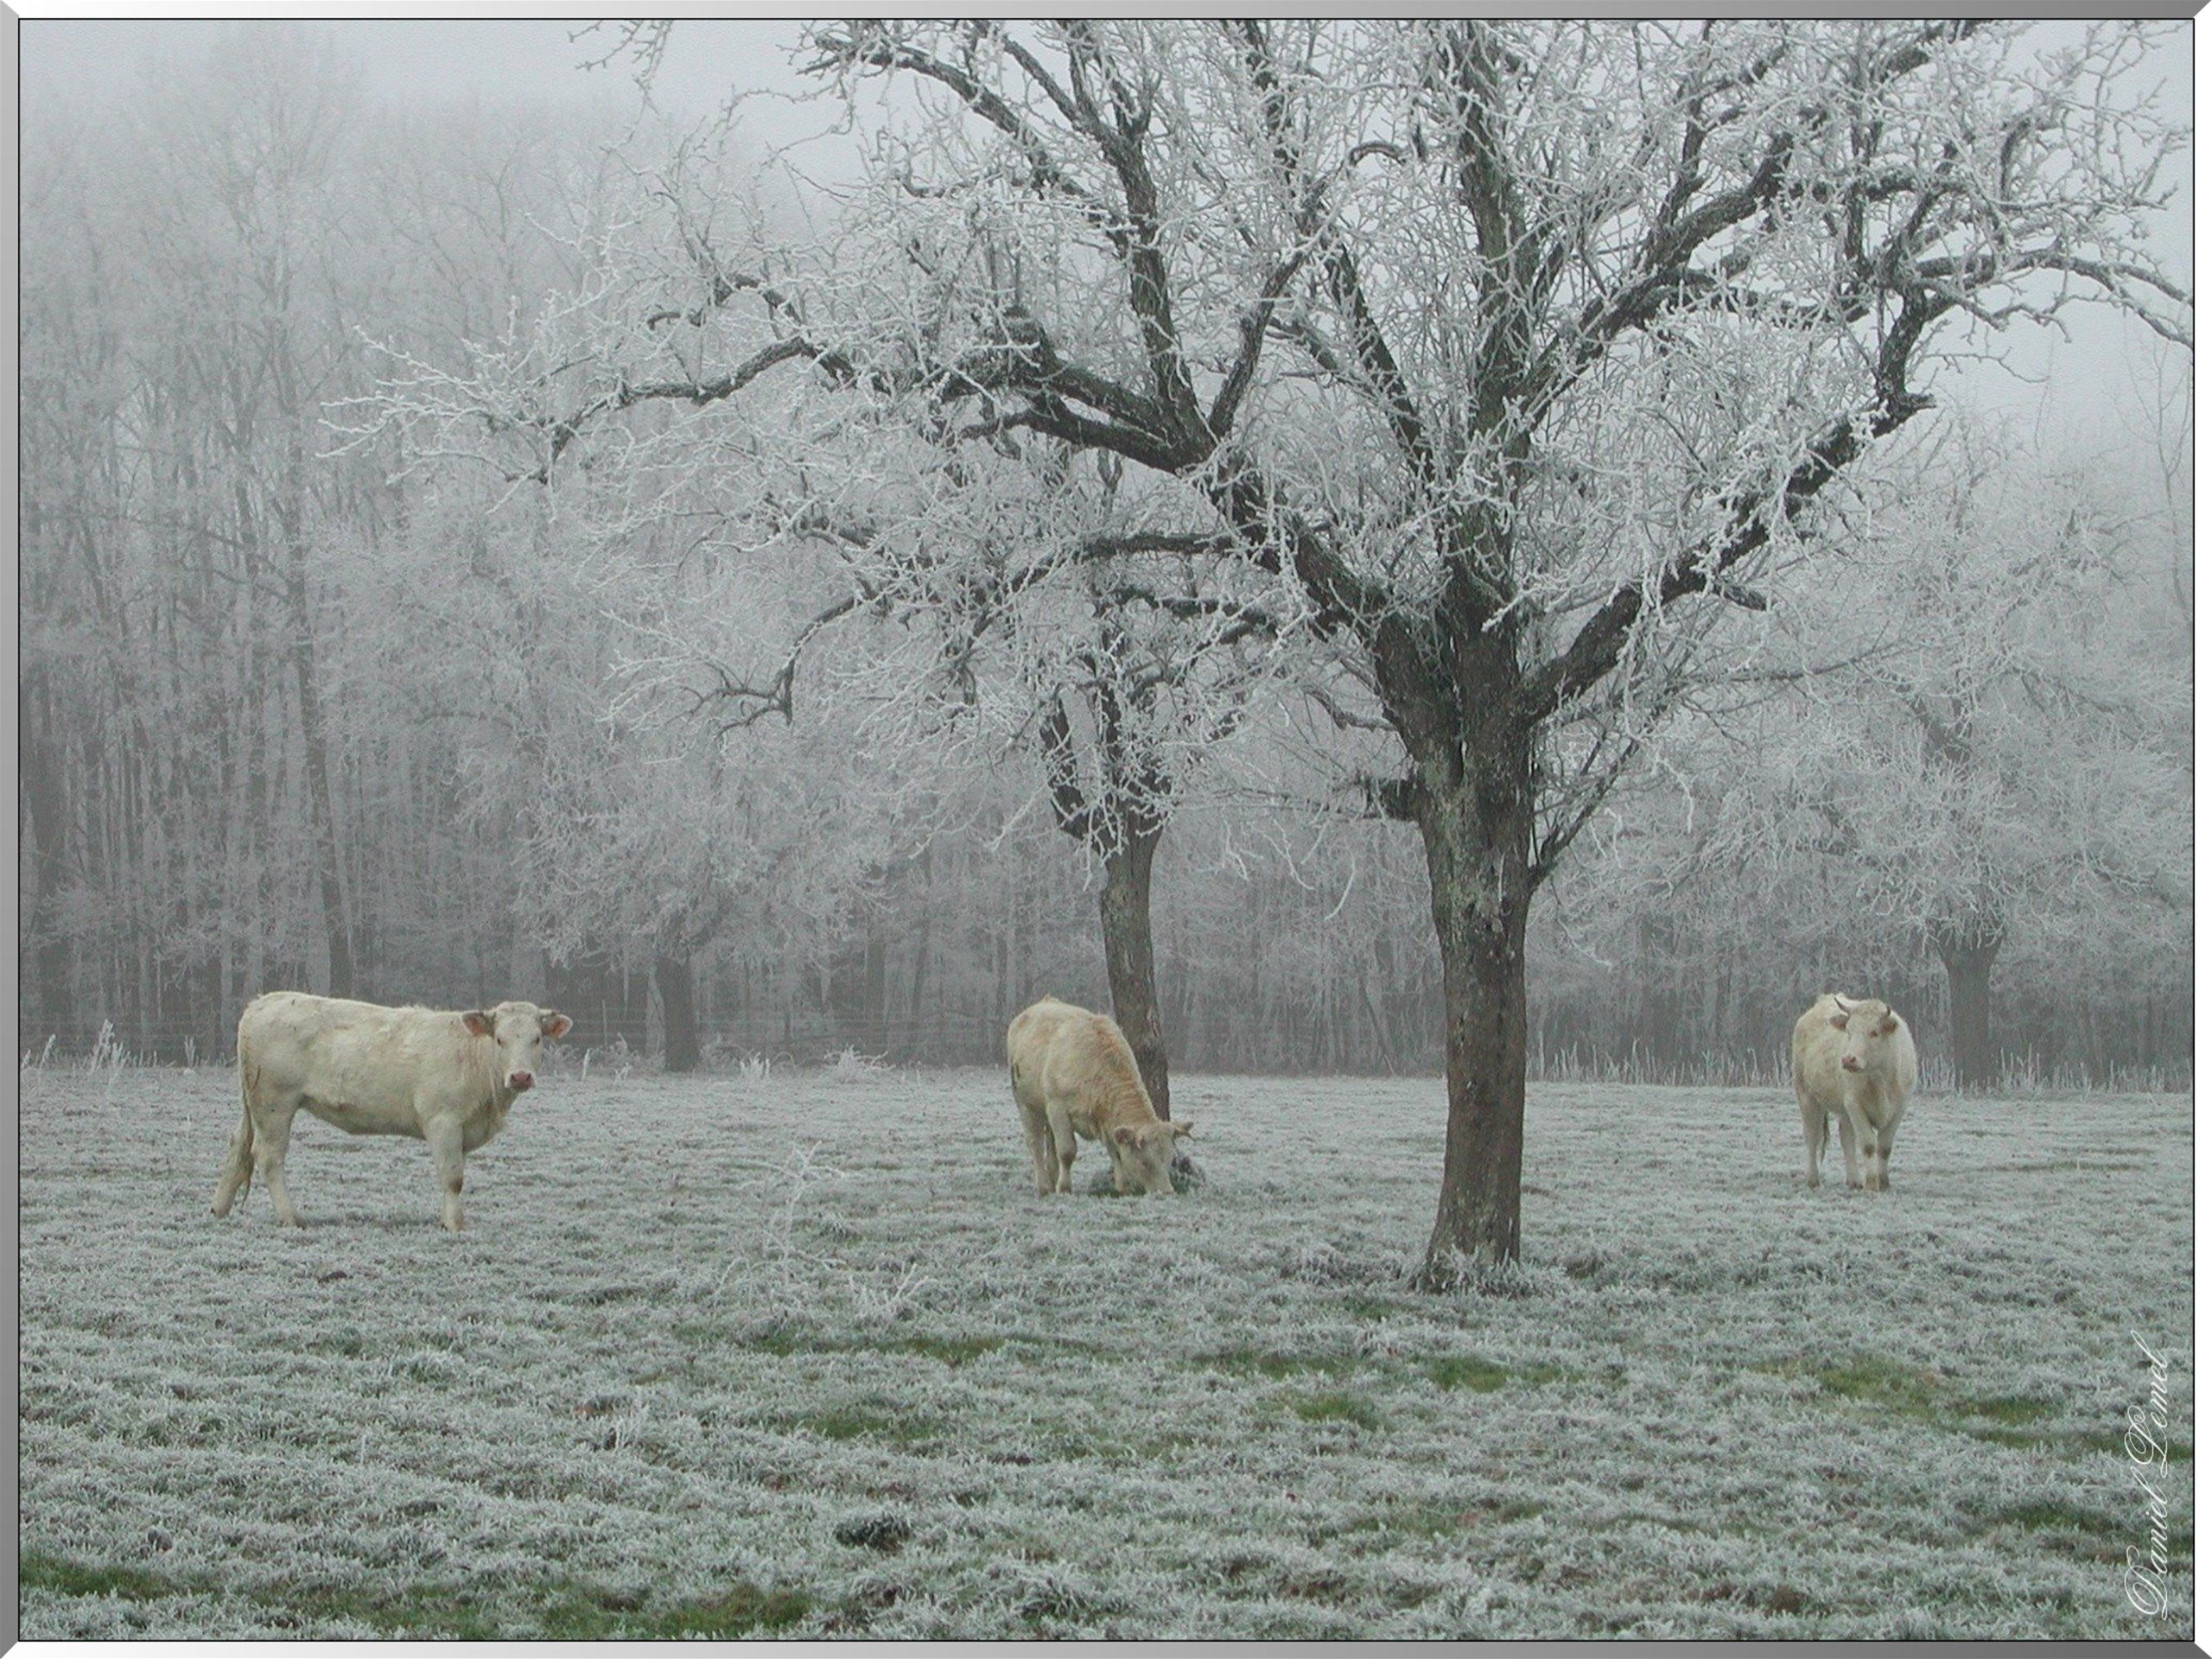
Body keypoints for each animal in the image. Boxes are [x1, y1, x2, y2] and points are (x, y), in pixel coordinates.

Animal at [212, 993, 571, 1232]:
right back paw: (291, 1218)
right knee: (268, 1157)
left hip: (255, 1106)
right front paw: (454, 1224)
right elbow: (453, 1177)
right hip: (275, 1104)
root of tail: (264, 1001)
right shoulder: (443, 1121)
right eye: (499, 1039)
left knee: (237, 1146)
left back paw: (219, 1209)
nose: (520, 1076)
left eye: (537, 1039)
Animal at [1007, 996, 1192, 1197]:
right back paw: (1044, 1186)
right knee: (1035, 1142)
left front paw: (1123, 1187)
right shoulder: (1058, 1108)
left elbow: (1115, 1152)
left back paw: (1052, 1176)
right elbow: (1067, 1151)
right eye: (1145, 1162)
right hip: (1026, 1103)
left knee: (1050, 1141)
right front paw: (1064, 1188)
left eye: (1170, 1159)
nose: (1166, 1192)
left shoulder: (1107, 1121)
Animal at [1791, 993, 1917, 1192]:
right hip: (1807, 1096)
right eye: (1849, 1032)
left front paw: (1884, 1183)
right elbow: (1868, 1145)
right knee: (1812, 1136)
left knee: (1846, 1138)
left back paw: (1854, 1181)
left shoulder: (1899, 1108)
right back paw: (1813, 1180)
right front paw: (1872, 1184)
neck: (1879, 1078)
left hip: (1844, 1110)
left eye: (1874, 1032)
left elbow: (1884, 1148)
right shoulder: (1855, 1105)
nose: (1848, 1059)